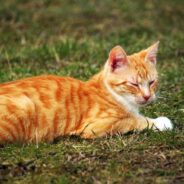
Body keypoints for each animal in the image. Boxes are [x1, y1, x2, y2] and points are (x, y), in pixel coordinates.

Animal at [0, 41, 172, 144]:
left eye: (152, 82)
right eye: (134, 84)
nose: (147, 96)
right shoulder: (95, 126)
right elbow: (135, 120)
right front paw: (160, 122)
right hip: (25, 105)